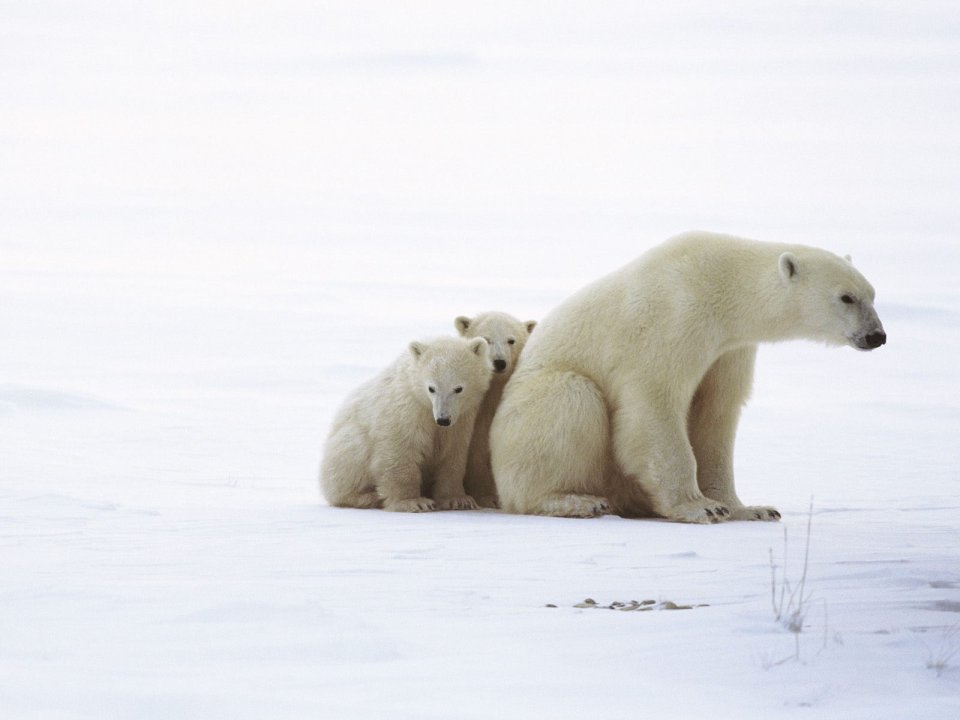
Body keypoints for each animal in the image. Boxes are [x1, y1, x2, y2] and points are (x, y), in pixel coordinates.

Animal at [321, 335, 492, 512]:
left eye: (458, 388)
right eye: (431, 388)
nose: (443, 419)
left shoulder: (462, 419)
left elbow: (453, 454)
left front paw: (459, 500)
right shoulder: (406, 409)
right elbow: (400, 449)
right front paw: (414, 502)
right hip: (347, 446)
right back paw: (368, 496)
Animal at [489, 231, 886, 524]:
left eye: (872, 294)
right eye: (846, 297)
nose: (876, 336)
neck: (721, 283)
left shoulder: (728, 349)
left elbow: (716, 414)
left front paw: (750, 508)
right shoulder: (672, 320)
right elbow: (655, 405)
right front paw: (700, 507)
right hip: (531, 408)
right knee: (570, 399)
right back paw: (575, 500)